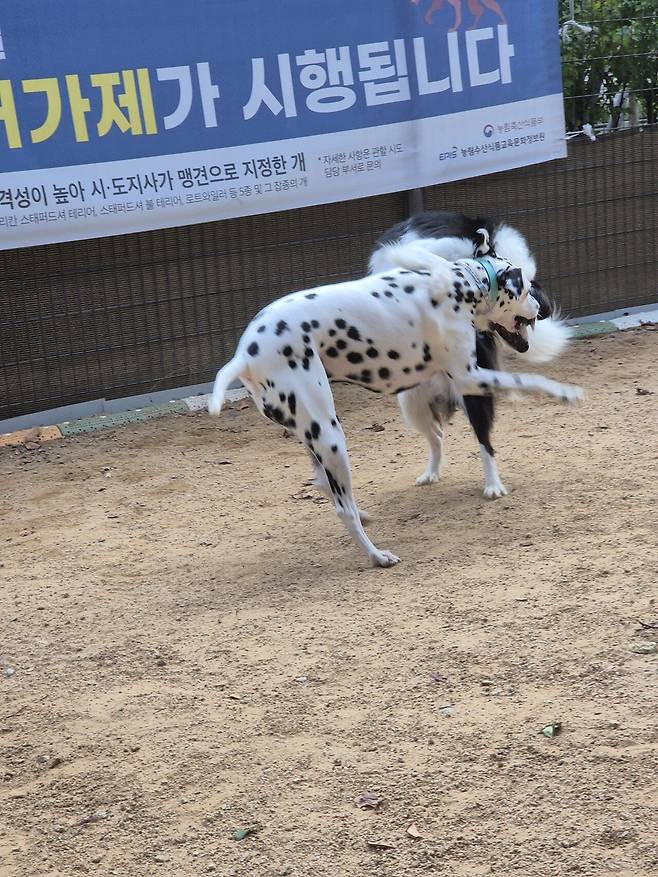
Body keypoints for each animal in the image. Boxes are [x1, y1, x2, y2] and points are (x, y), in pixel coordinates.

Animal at [209, 238, 580, 568]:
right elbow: (528, 380)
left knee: (328, 486)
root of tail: (244, 355)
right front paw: (564, 393)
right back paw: (377, 555)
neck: (464, 281)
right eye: (528, 289)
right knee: (342, 508)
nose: (543, 309)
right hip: (330, 438)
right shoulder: (469, 377)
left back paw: (366, 516)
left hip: (314, 435)